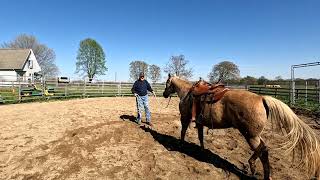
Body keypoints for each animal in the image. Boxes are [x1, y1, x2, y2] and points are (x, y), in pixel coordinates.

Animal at [164, 74, 318, 179]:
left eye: (167, 83)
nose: (165, 94)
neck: (187, 92)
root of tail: (261, 98)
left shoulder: (185, 118)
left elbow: (183, 131)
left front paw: (181, 145)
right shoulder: (200, 122)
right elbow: (201, 137)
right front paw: (202, 150)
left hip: (250, 136)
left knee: (263, 150)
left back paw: (253, 165)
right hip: (255, 135)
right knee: (263, 150)